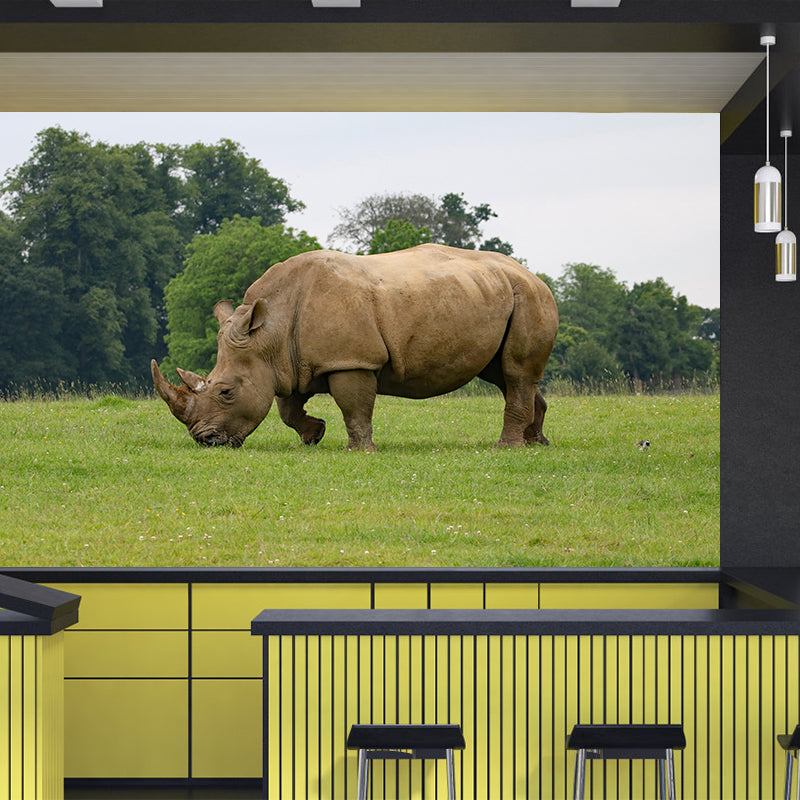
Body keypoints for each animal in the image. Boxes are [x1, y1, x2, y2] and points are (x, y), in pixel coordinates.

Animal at [151, 244, 558, 451]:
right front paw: (313, 435)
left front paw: (360, 450)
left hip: (529, 297)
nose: (205, 441)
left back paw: (507, 448)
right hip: (495, 293)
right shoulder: (290, 363)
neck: (268, 334)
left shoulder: (350, 360)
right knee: (505, 375)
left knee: (515, 372)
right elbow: (287, 408)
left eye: (225, 391)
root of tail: (532, 273)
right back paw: (537, 443)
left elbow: (354, 407)